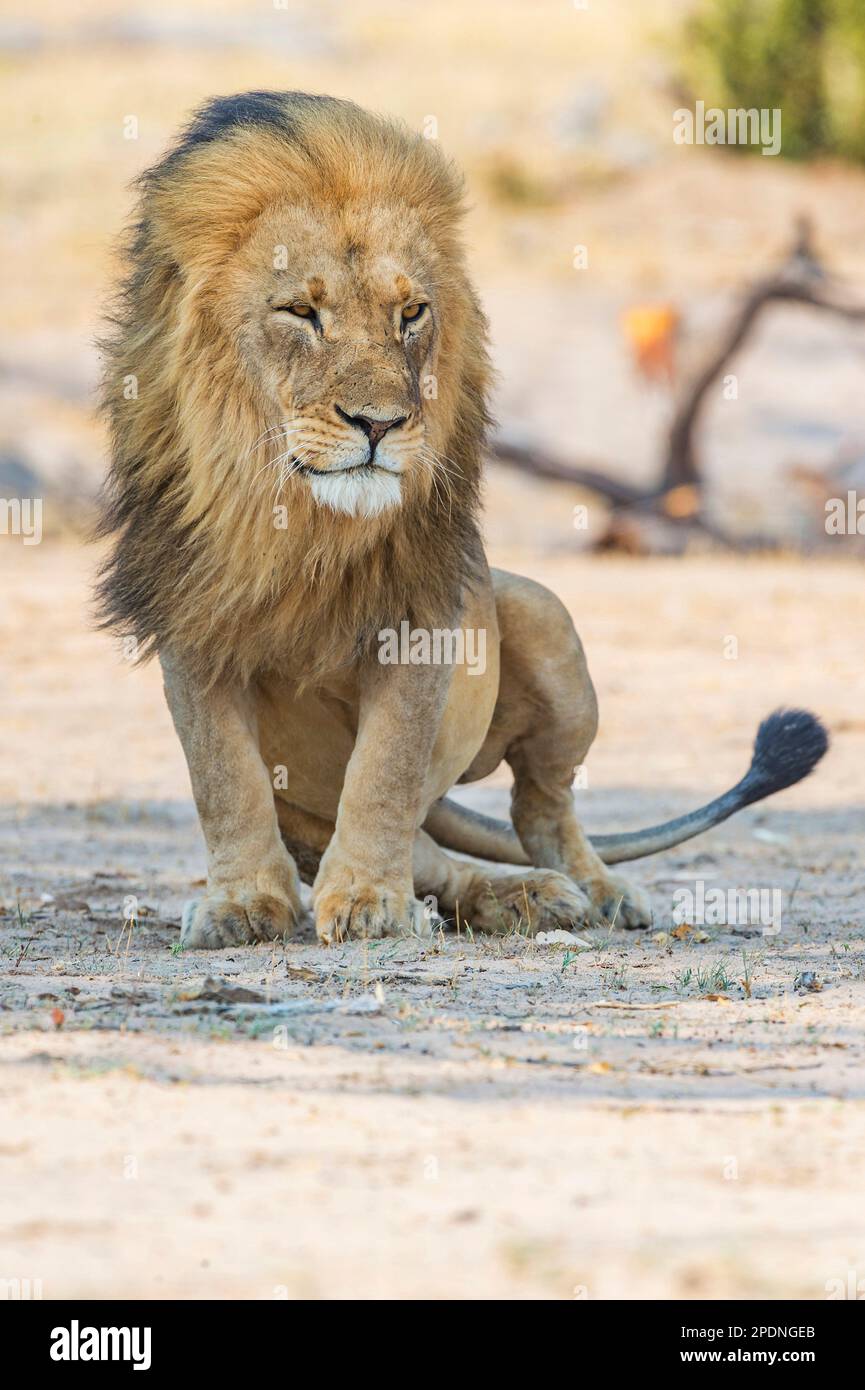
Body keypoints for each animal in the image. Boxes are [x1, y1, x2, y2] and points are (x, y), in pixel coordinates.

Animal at [96, 92, 834, 950]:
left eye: (411, 312)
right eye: (301, 312)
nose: (380, 423)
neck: (300, 523)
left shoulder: (422, 616)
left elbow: (384, 768)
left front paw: (369, 902)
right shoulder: (190, 618)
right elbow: (224, 777)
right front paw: (244, 903)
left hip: (541, 615)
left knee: (537, 805)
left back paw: (580, 892)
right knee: (432, 857)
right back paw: (509, 898)